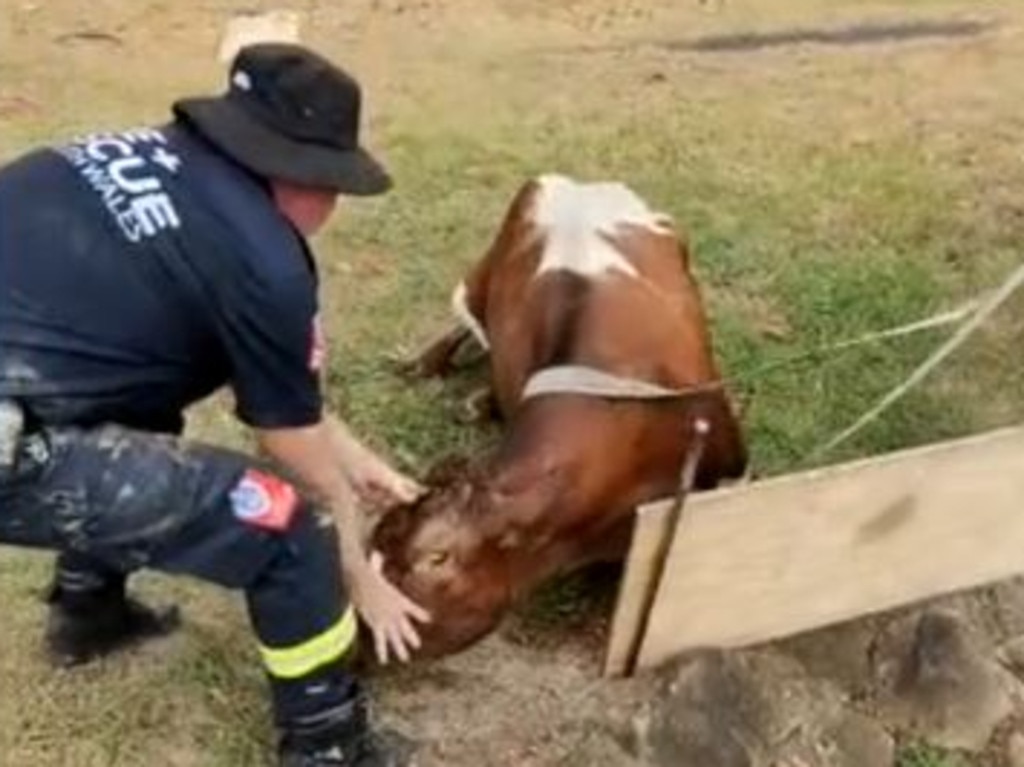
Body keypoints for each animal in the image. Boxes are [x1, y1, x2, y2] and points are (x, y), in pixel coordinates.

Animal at [372, 173, 749, 659]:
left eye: (435, 559)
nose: (356, 638)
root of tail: (578, 183)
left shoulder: (731, 470)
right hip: (480, 278)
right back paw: (434, 369)